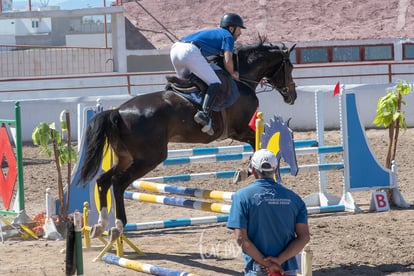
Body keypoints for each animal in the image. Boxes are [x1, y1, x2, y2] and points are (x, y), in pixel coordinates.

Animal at [78, 38, 298, 239]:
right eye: (290, 67)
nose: (292, 96)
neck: (241, 79)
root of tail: (118, 112)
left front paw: (246, 172)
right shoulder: (241, 130)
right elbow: (256, 145)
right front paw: (244, 172)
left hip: (125, 157)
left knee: (103, 180)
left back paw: (100, 225)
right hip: (149, 158)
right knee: (118, 183)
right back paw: (118, 225)